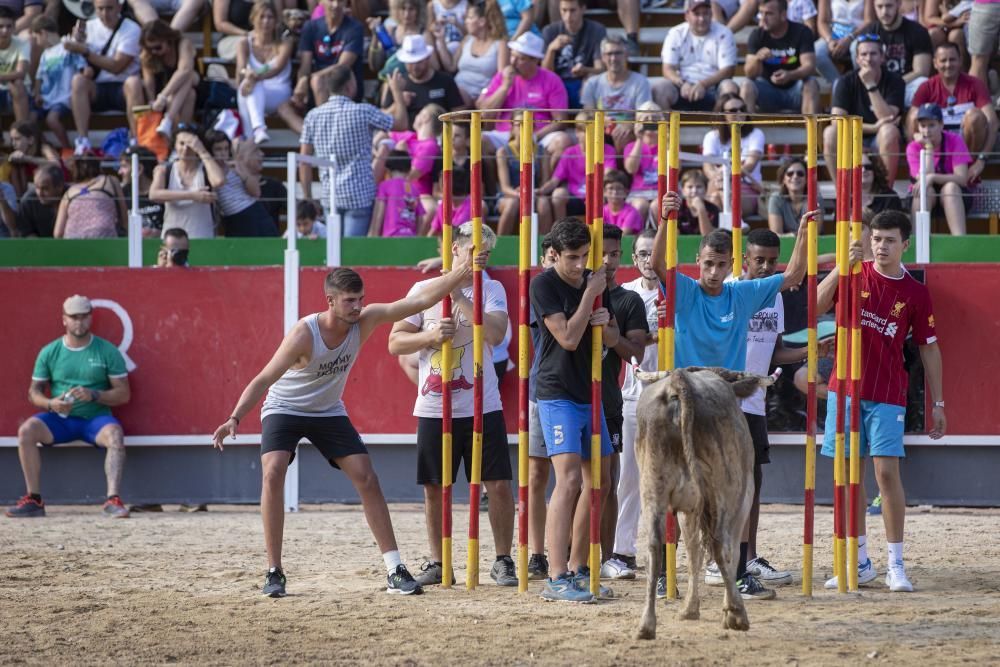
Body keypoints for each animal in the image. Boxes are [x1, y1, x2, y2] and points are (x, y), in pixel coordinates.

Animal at [632, 368, 772, 640]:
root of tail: (679, 382)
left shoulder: (688, 509)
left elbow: (692, 551)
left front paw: (689, 609)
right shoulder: (742, 496)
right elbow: (730, 550)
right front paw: (726, 610)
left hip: (652, 486)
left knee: (653, 546)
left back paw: (646, 625)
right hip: (727, 488)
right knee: (721, 544)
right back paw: (737, 613)